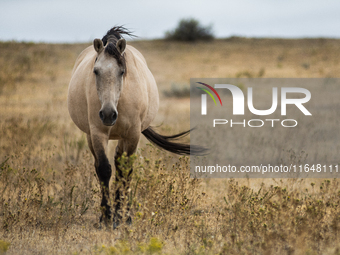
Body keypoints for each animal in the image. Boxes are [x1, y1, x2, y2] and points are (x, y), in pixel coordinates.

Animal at [67, 26, 203, 229]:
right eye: (96, 71)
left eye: (122, 71)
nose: (108, 114)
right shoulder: (98, 133)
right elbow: (104, 169)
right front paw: (107, 217)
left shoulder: (132, 135)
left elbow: (125, 171)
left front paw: (123, 216)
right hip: (91, 136)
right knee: (101, 165)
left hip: (123, 137)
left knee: (119, 163)